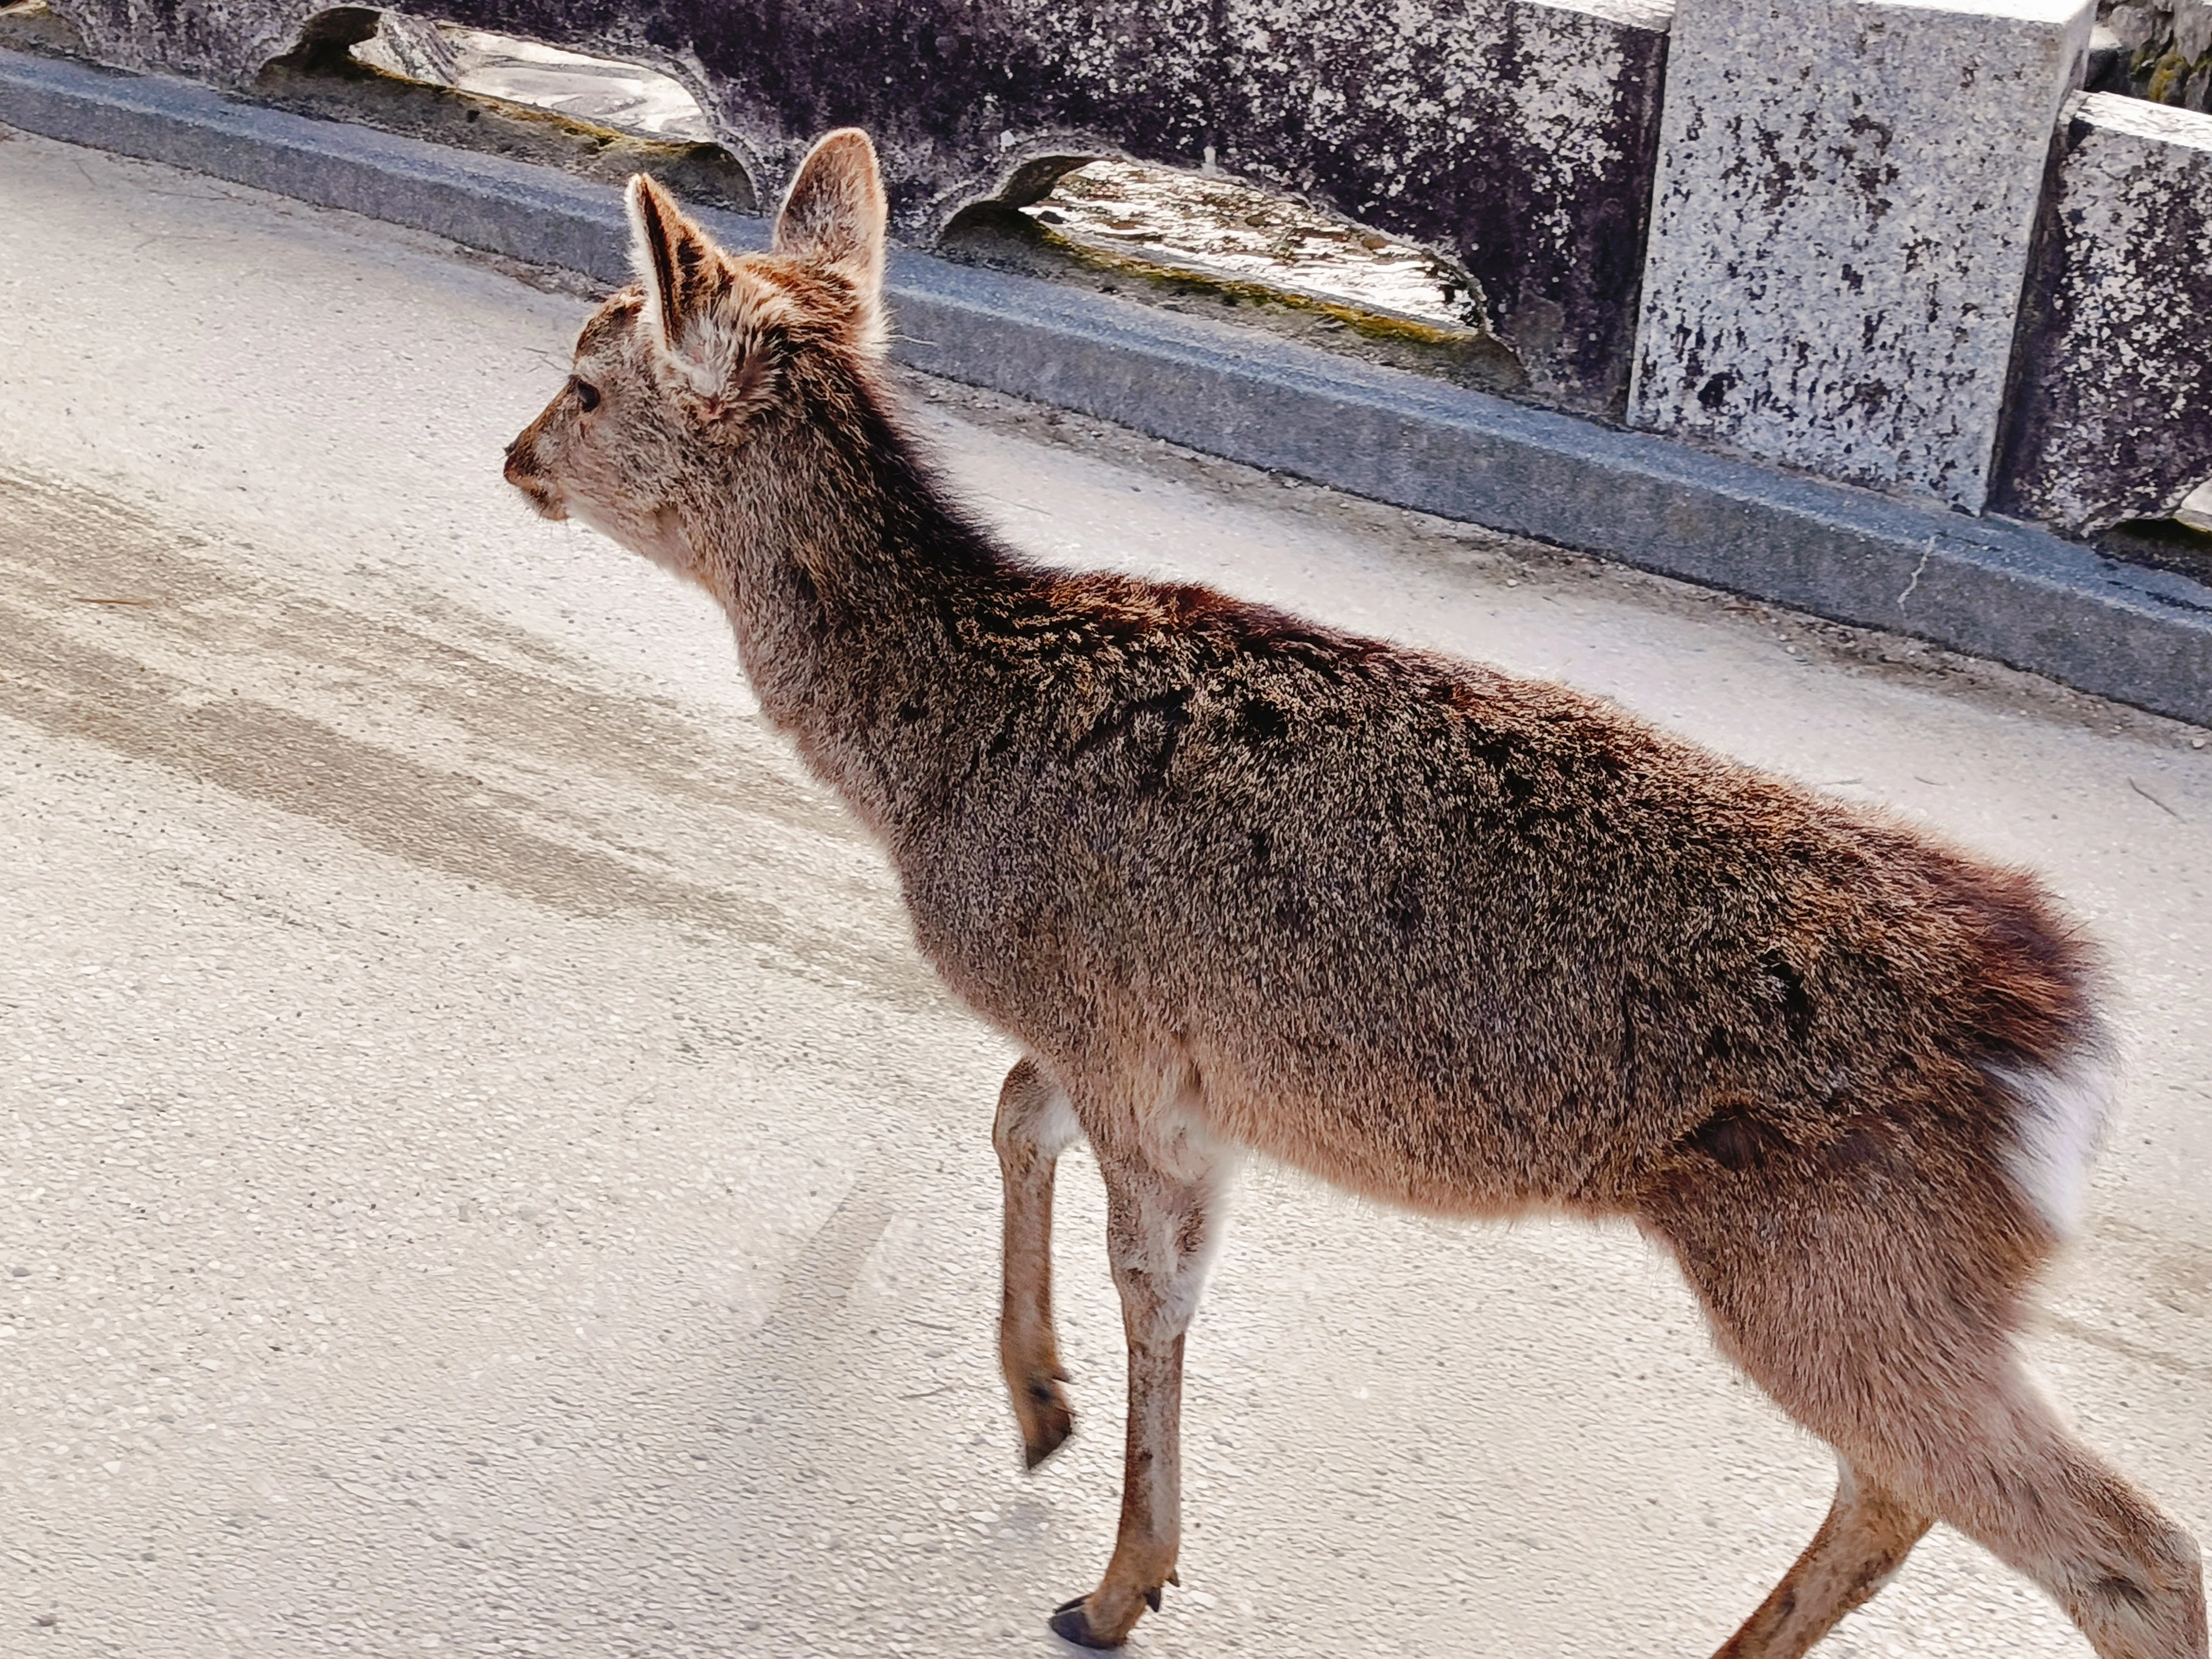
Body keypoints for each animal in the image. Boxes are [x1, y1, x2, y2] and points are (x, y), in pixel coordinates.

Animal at [500, 128, 2207, 1657]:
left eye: (587, 377)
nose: (515, 458)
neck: (935, 761)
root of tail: (2068, 1048)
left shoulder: (1125, 1040)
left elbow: (1154, 1282)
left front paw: (1119, 1584)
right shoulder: (1138, 1042)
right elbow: (1011, 1111)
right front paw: (1039, 1406)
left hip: (1835, 1253)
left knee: (2124, 1551)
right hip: (1887, 1280)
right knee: (1895, 1493)